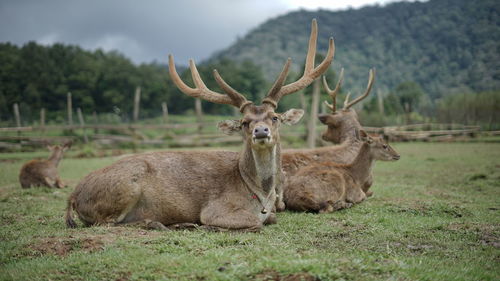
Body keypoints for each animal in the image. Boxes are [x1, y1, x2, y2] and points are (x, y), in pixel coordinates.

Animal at [63, 18, 336, 231]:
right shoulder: (215, 208)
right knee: (109, 223)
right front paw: (208, 226)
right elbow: (253, 223)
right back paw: (166, 223)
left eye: (274, 117)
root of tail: (73, 196)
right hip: (124, 189)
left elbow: (272, 219)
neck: (260, 195)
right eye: (245, 122)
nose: (261, 131)